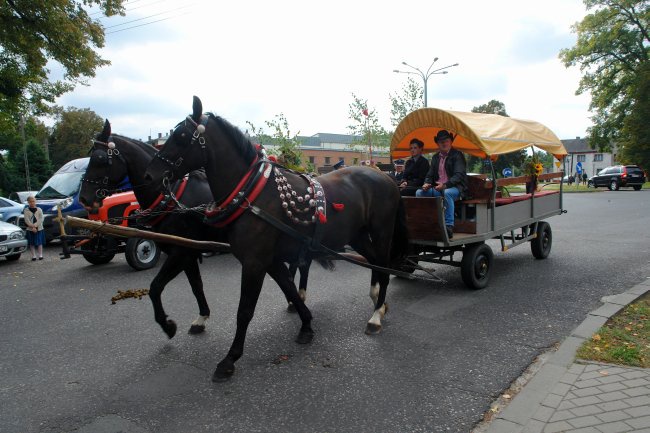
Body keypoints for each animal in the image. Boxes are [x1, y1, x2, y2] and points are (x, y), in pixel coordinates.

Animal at [145, 96, 408, 380]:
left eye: (182, 136)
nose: (149, 176)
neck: (252, 195)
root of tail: (386, 176)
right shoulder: (270, 260)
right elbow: (290, 290)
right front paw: (306, 326)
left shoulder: (254, 262)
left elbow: (245, 310)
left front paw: (229, 359)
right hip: (358, 235)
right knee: (374, 262)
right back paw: (378, 302)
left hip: (382, 231)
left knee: (384, 265)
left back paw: (376, 316)